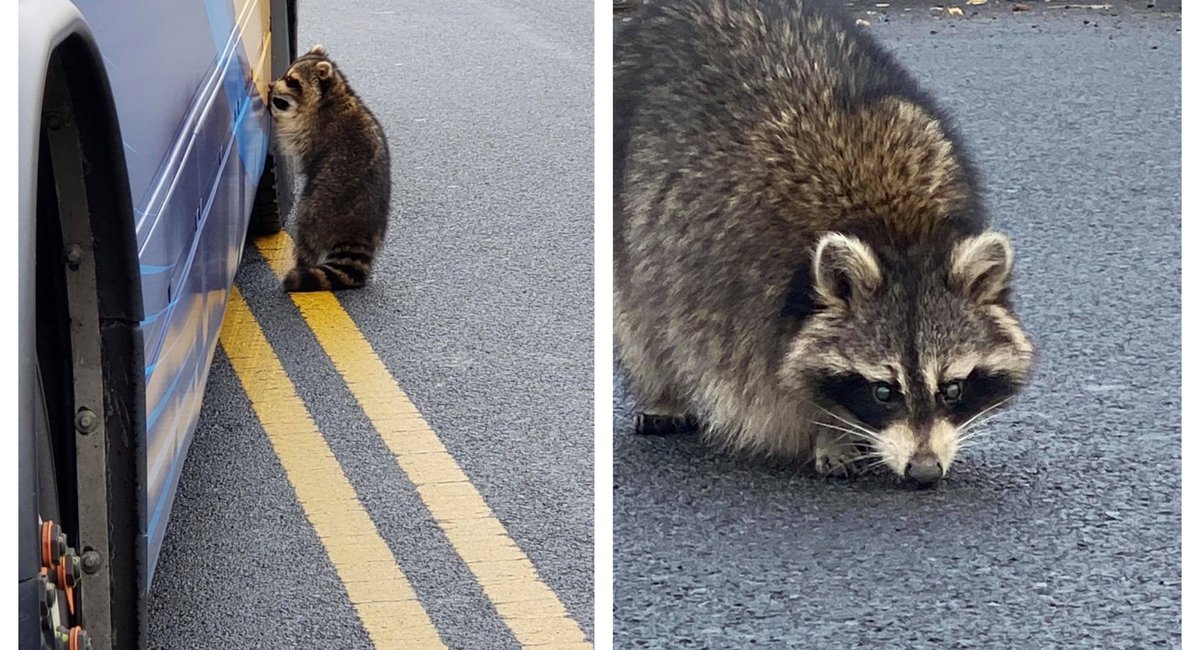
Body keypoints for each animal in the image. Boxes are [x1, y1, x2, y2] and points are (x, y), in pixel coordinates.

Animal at [268, 44, 391, 292]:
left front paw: (275, 112)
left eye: (291, 80)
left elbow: (291, 135)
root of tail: (359, 227)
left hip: (318, 207)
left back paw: (302, 262)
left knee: (306, 234)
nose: (272, 85)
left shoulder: (316, 127)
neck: (337, 92)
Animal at [613, 0, 1035, 485]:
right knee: (641, 312)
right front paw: (829, 429)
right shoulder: (740, 288)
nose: (925, 471)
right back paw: (663, 390)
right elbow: (774, 378)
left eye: (952, 388)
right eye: (883, 391)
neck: (898, 230)